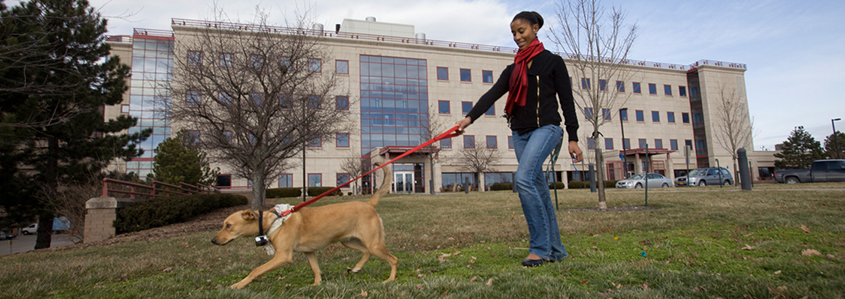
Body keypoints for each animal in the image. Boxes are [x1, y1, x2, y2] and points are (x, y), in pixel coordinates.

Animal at [209, 165, 398, 290]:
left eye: (228, 225)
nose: (213, 240)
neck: (274, 221)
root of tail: (369, 204)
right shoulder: (309, 252)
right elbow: (316, 269)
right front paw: (316, 285)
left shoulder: (283, 256)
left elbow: (256, 270)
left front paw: (238, 285)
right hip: (349, 241)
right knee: (366, 252)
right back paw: (357, 267)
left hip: (374, 243)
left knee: (393, 259)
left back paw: (390, 280)